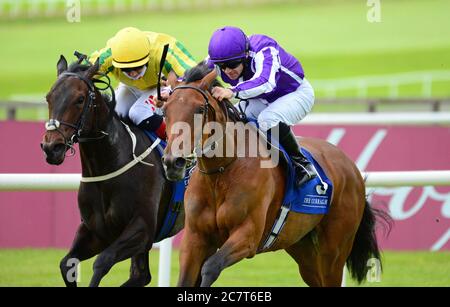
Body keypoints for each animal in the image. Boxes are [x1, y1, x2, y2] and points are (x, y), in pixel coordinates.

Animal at [40, 56, 183, 288]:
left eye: (80, 99)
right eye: (48, 98)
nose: (52, 148)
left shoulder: (142, 228)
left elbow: (102, 261)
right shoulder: (95, 231)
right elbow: (66, 263)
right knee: (141, 276)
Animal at [162, 63, 390, 288]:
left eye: (200, 109)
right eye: (165, 111)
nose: (173, 162)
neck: (220, 174)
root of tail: (352, 168)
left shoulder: (248, 236)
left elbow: (210, 267)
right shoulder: (195, 238)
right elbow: (185, 279)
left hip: (333, 250)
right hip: (303, 249)